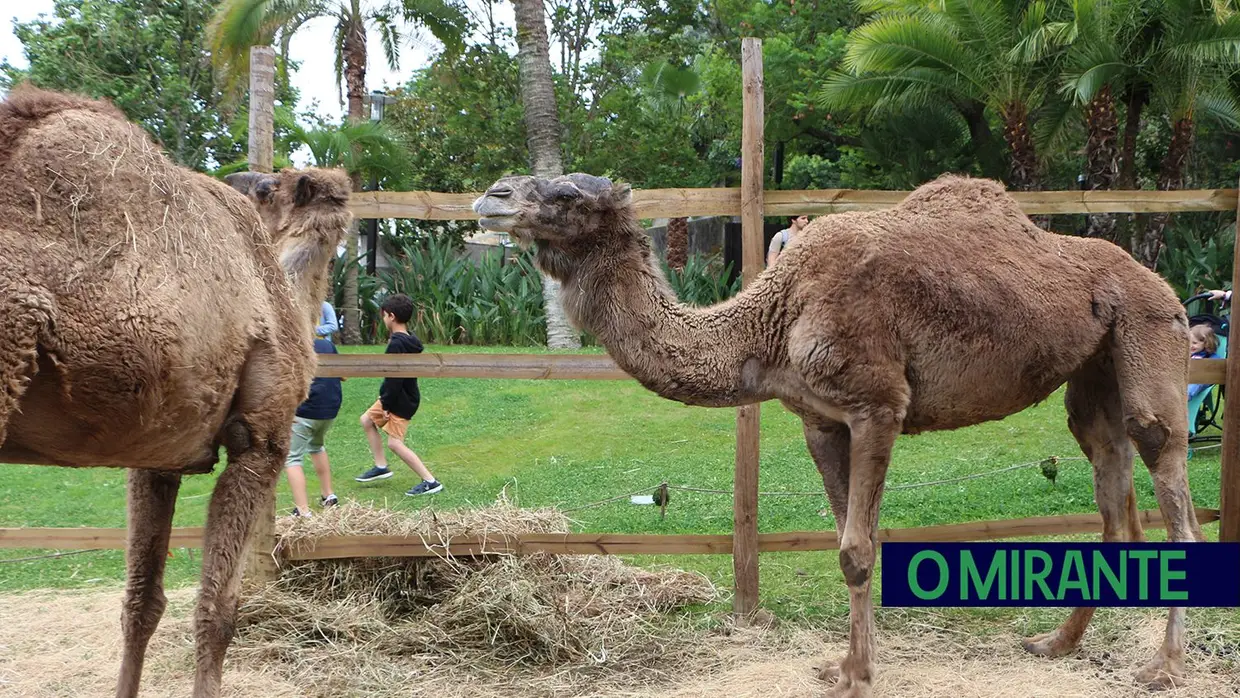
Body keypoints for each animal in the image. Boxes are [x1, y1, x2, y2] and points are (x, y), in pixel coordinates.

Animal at [0, 84, 352, 694]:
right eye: (273, 187)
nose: (242, 176)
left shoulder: (156, 456)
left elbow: (141, 603)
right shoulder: (261, 442)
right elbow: (218, 612)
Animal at [471, 173, 1200, 698]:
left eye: (567, 194)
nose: (491, 197)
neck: (772, 321)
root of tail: (1164, 286)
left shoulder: (878, 405)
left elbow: (857, 549)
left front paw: (858, 676)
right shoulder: (820, 420)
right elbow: (847, 542)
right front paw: (848, 666)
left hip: (1149, 335)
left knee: (1167, 478)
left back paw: (1164, 667)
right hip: (1093, 371)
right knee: (1109, 487)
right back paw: (1056, 643)